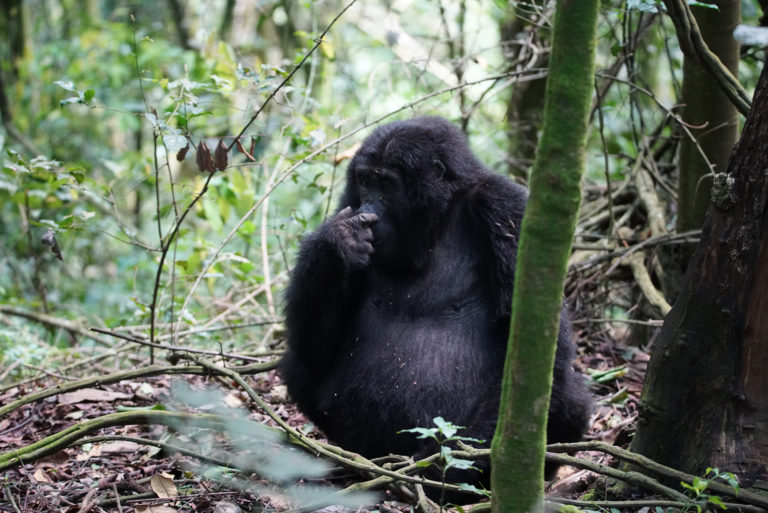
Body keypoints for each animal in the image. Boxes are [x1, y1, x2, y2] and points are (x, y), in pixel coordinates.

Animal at [282, 117, 592, 500]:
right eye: (365, 181)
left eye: (386, 183)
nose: (369, 209)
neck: (438, 219)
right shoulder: (348, 200)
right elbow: (315, 346)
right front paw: (335, 244)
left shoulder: (509, 211)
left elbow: (537, 365)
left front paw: (436, 468)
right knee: (298, 364)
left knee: (567, 394)